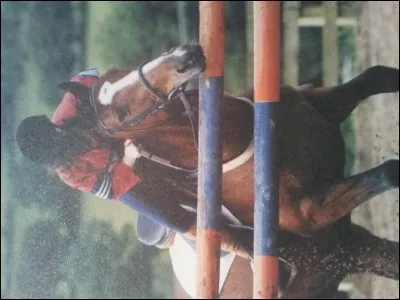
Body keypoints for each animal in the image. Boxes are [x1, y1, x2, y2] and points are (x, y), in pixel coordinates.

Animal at [60, 43, 400, 298]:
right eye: (122, 114)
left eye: (119, 71)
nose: (184, 57)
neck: (244, 138)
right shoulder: (314, 209)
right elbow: (390, 172)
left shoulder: (326, 107)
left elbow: (379, 76)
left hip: (347, 248)